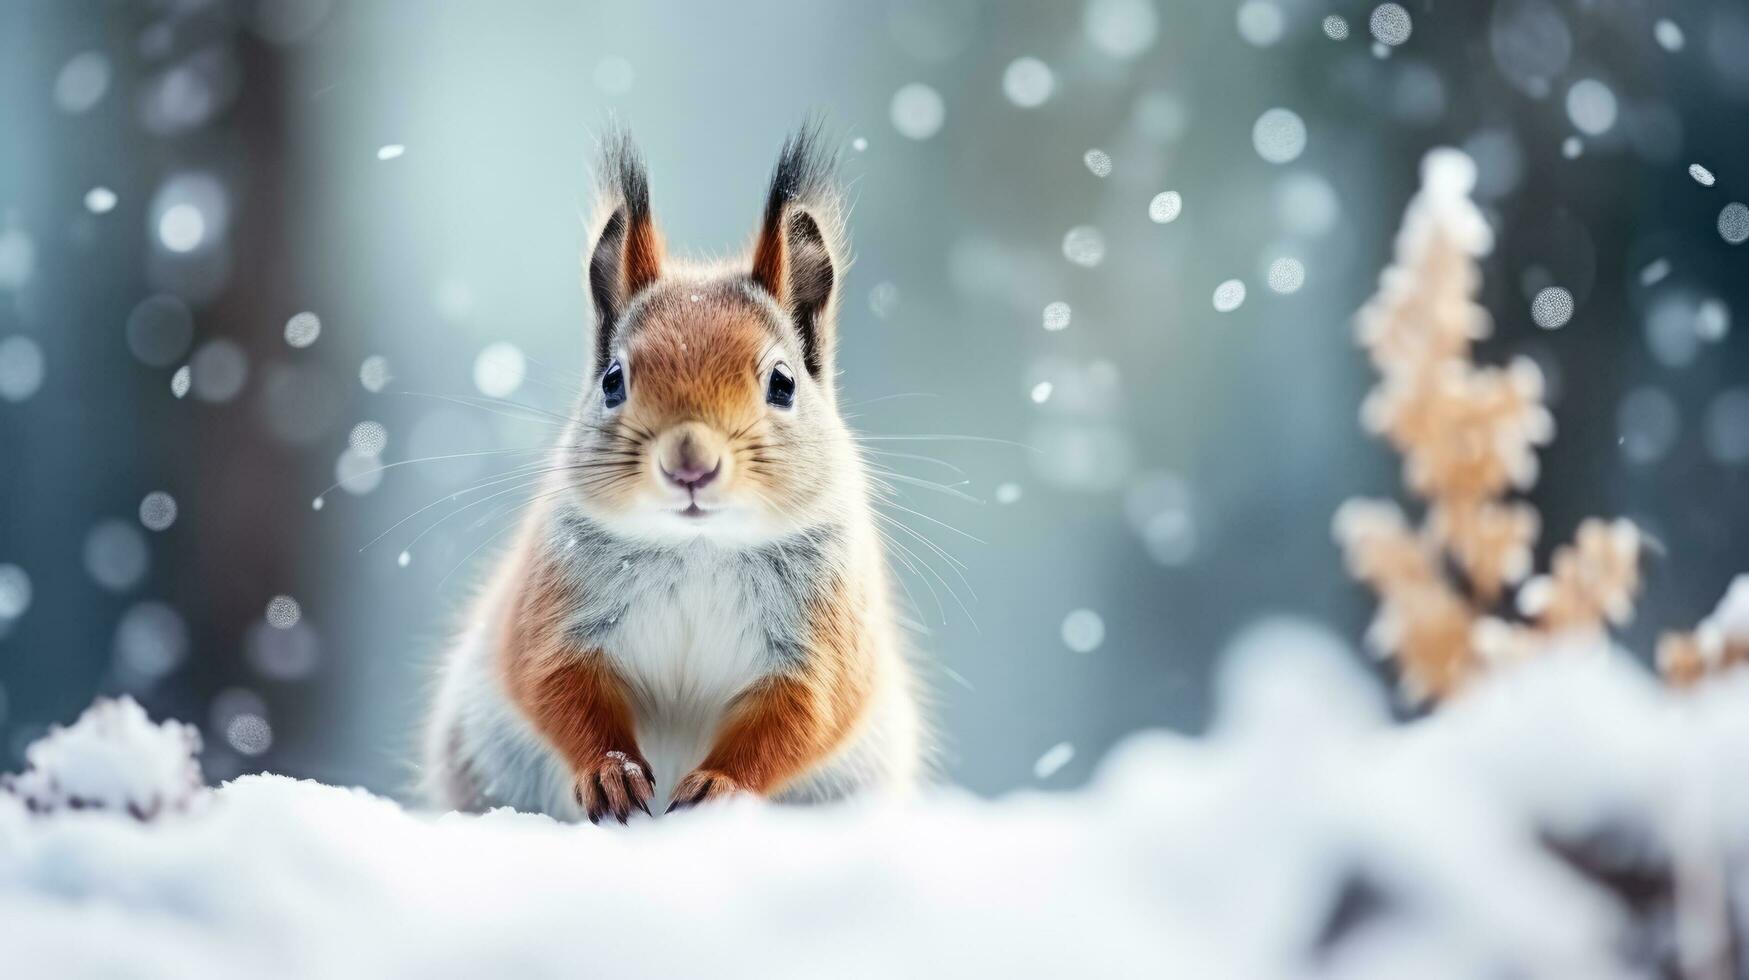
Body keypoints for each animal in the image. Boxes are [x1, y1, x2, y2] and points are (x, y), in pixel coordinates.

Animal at [421, 126, 930, 822]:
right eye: (613, 380)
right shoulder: (552, 613)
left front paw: (720, 785)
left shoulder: (824, 644)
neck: (700, 548)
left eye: (783, 382)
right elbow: (556, 686)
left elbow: (802, 718)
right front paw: (611, 773)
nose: (690, 462)